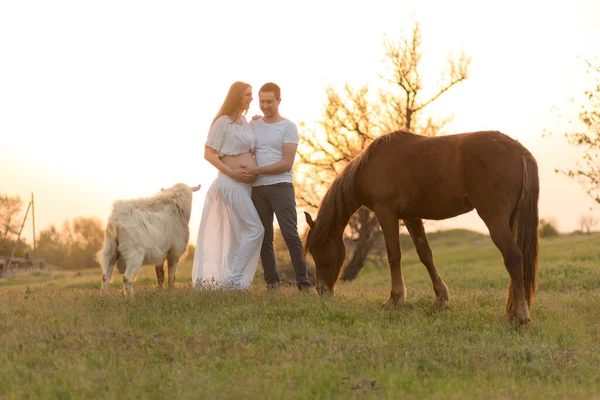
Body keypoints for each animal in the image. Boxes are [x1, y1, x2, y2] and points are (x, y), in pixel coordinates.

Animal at [304, 131, 540, 324]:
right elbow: (425, 255)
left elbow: (394, 256)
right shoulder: (412, 217)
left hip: (495, 221)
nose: (321, 290)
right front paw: (441, 299)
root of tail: (520, 152)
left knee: (513, 257)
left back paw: (521, 316)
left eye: (317, 250)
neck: (370, 165)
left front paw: (394, 300)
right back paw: (513, 313)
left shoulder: (386, 213)